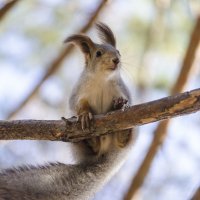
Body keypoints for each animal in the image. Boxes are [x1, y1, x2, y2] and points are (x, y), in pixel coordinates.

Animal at [0, 22, 135, 199]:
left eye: (118, 52)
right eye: (98, 53)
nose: (116, 60)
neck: (102, 79)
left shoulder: (122, 89)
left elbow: (126, 99)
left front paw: (121, 104)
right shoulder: (78, 93)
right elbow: (78, 105)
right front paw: (84, 115)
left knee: (122, 141)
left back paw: (123, 131)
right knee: (93, 148)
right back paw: (90, 140)